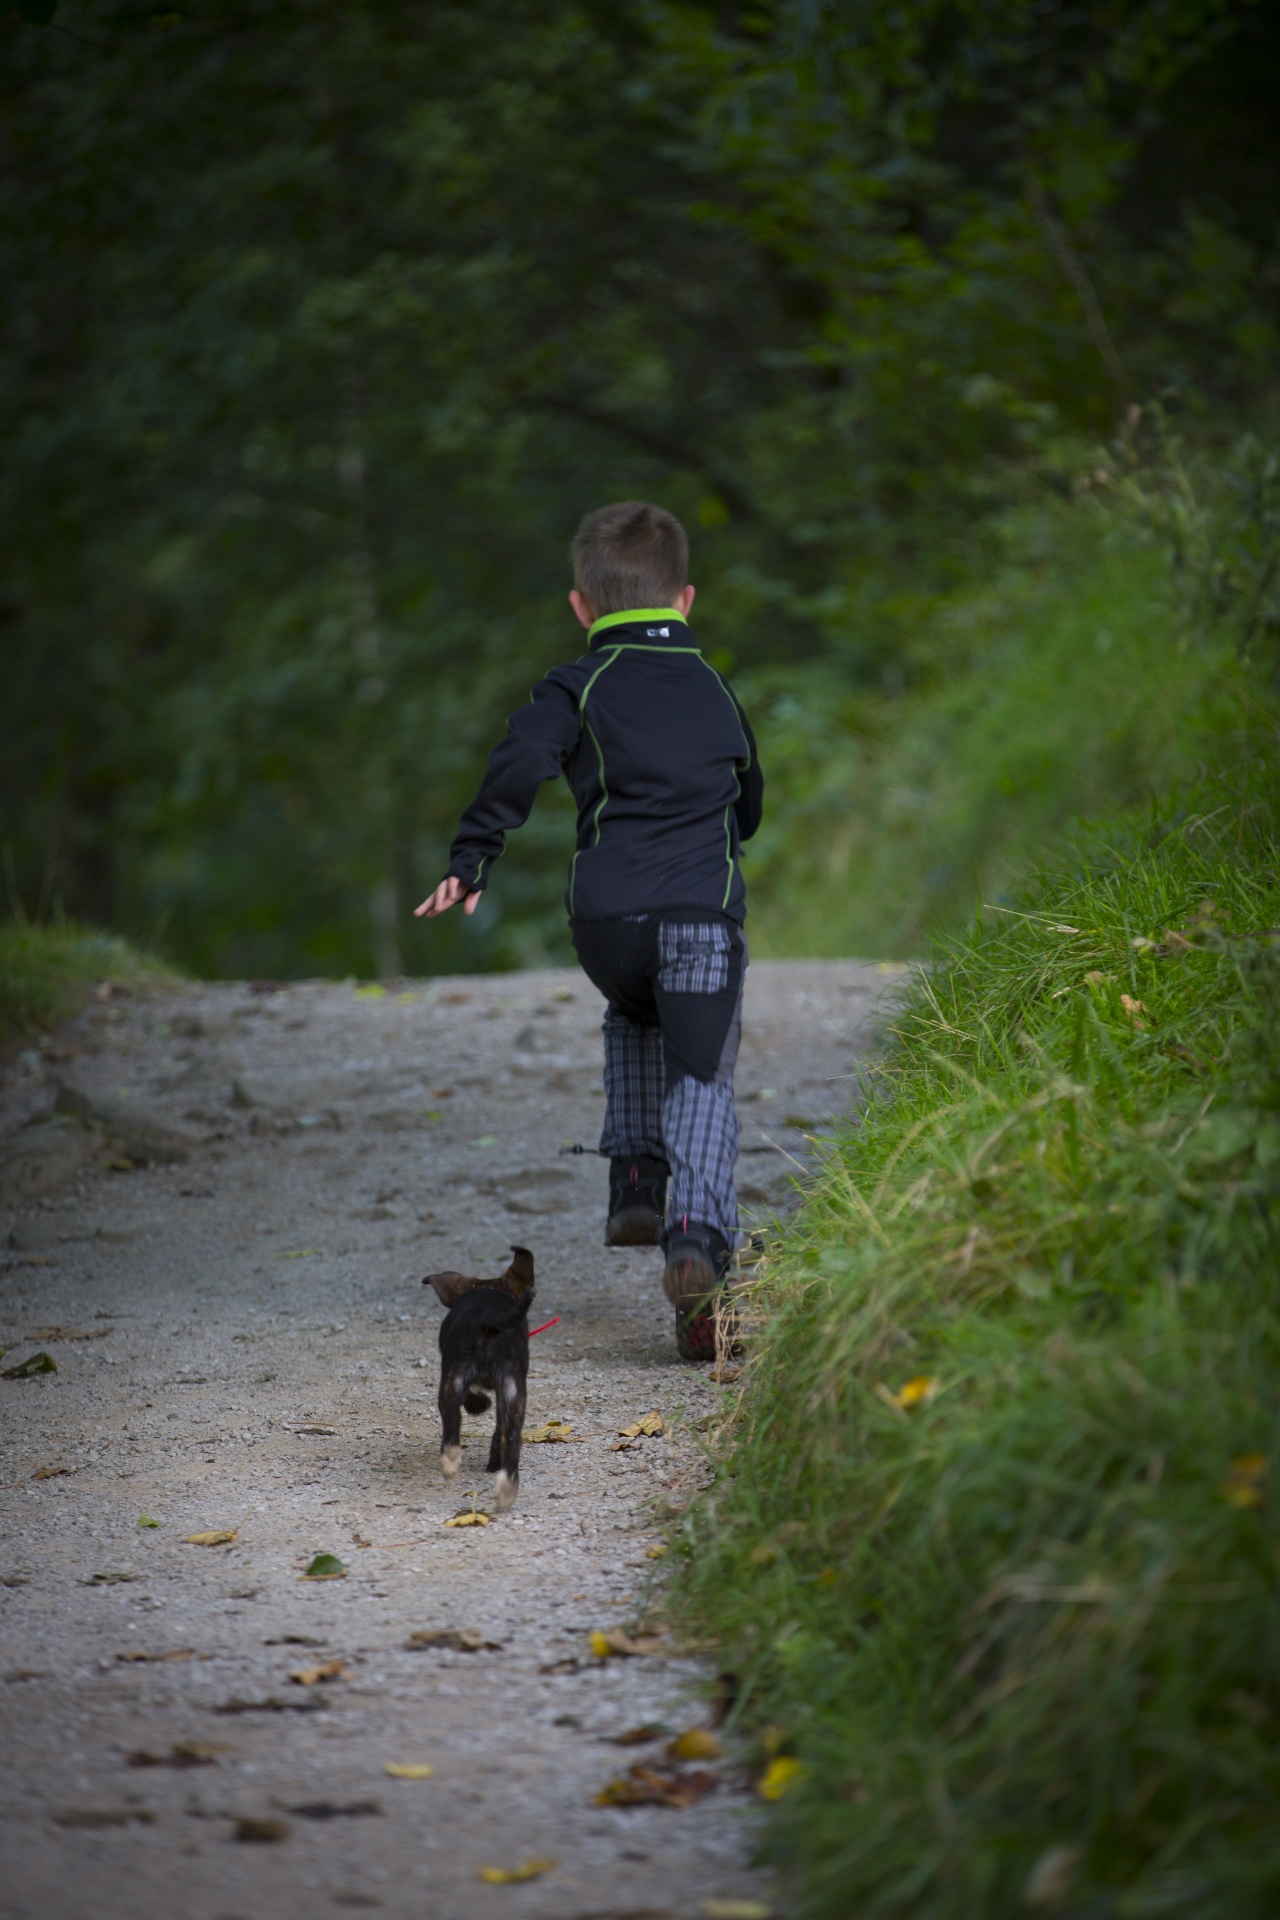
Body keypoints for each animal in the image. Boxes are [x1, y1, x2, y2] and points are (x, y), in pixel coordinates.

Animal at [426, 1244, 537, 1512]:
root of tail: (489, 1318)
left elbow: (472, 1398)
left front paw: (480, 1404)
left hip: (453, 1382)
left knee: (453, 1422)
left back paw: (450, 1460)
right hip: (513, 1392)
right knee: (511, 1437)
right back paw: (506, 1488)